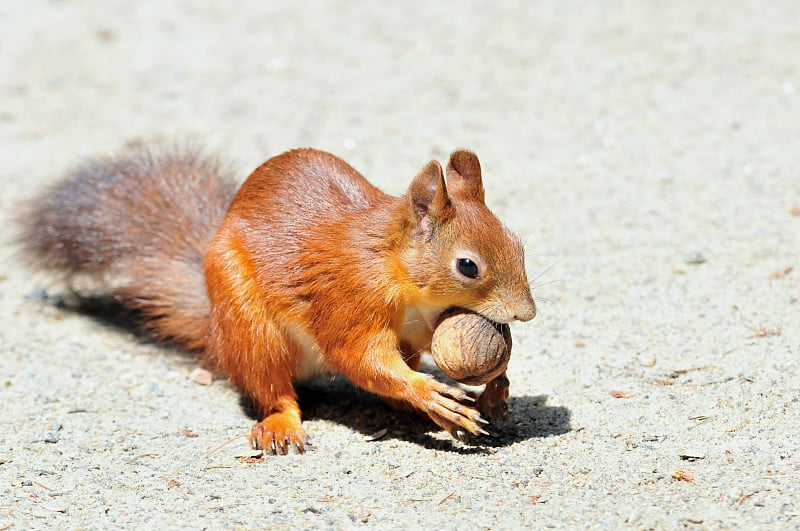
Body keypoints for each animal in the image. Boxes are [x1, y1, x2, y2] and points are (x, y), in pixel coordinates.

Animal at [20, 143, 536, 456]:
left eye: (518, 243)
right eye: (467, 266)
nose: (527, 313)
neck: (396, 269)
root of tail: (217, 335)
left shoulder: (421, 324)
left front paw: (497, 385)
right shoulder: (348, 296)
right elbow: (358, 356)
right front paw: (427, 390)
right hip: (252, 329)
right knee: (272, 389)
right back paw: (283, 423)